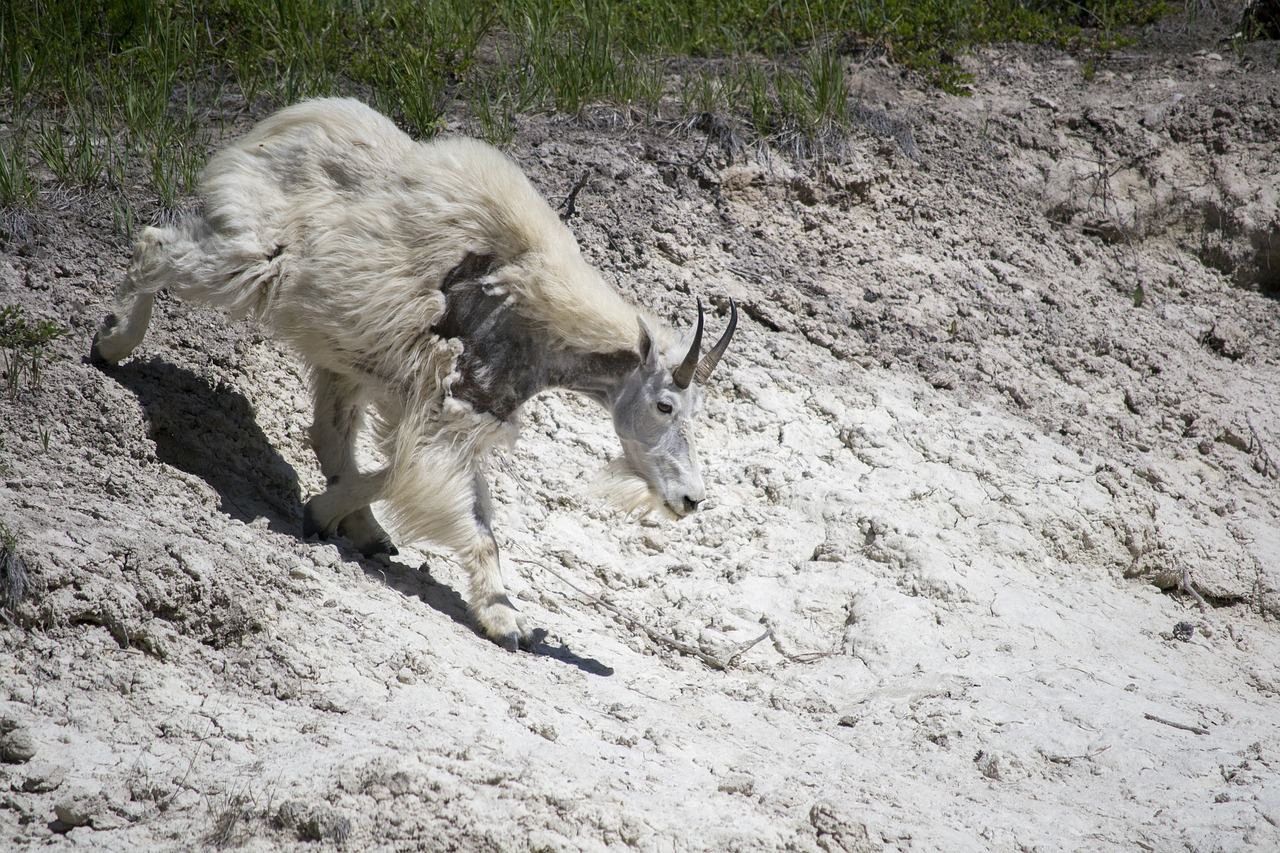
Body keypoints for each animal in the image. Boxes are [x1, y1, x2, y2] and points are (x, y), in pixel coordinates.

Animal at [90, 96, 737, 648]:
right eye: (664, 405)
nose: (690, 499)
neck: (539, 317)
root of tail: (285, 123)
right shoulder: (451, 408)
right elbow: (464, 511)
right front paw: (507, 621)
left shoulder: (442, 406)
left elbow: (411, 476)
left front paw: (329, 513)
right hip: (252, 259)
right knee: (156, 245)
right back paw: (112, 342)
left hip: (339, 350)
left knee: (329, 434)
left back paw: (364, 530)